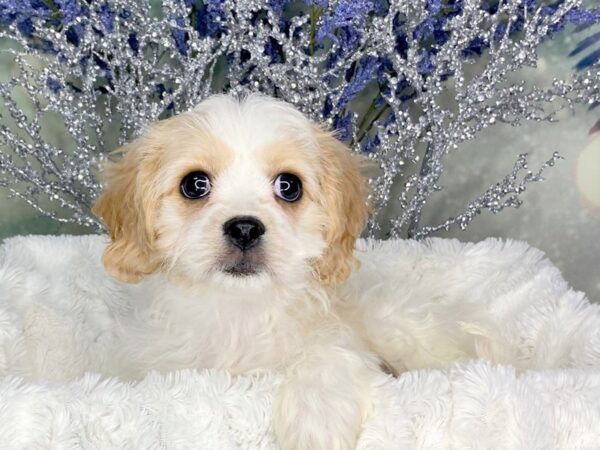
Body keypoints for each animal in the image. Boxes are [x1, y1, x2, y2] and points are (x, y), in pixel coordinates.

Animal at [94, 94, 384, 450]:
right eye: (195, 184)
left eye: (289, 186)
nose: (244, 228)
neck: (239, 312)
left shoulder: (339, 336)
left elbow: (327, 356)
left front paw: (317, 422)